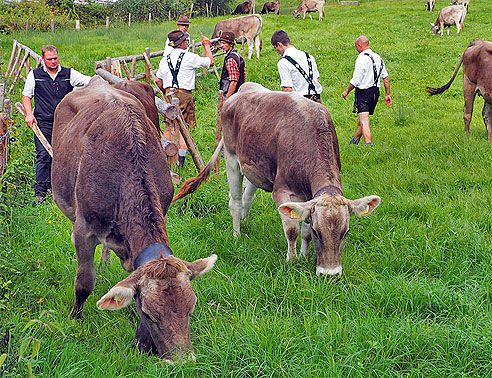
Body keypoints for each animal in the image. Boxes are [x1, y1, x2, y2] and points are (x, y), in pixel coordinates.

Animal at [51, 76, 217, 360]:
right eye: (150, 314)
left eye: (191, 307)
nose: (183, 361)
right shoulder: (83, 231)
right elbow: (84, 282)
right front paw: (75, 319)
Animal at [173, 82, 380, 276]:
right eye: (318, 232)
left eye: (346, 232)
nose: (330, 274)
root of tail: (241, 90)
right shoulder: (281, 190)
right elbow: (292, 230)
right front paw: (291, 259)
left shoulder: (308, 198)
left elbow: (303, 231)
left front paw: (304, 256)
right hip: (232, 158)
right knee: (236, 201)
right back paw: (237, 234)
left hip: (255, 167)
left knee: (248, 197)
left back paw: (245, 221)